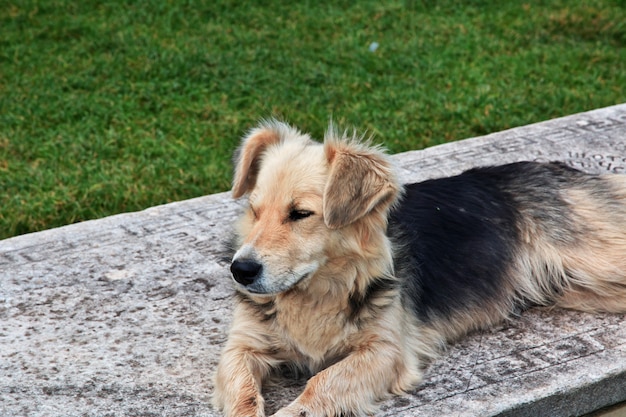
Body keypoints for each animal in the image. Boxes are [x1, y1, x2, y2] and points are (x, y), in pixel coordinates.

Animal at [211, 118, 624, 414]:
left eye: (300, 214)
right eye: (254, 211)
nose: (240, 270)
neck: (317, 290)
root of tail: (562, 169)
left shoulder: (385, 351)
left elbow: (322, 383)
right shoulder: (241, 348)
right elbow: (242, 392)